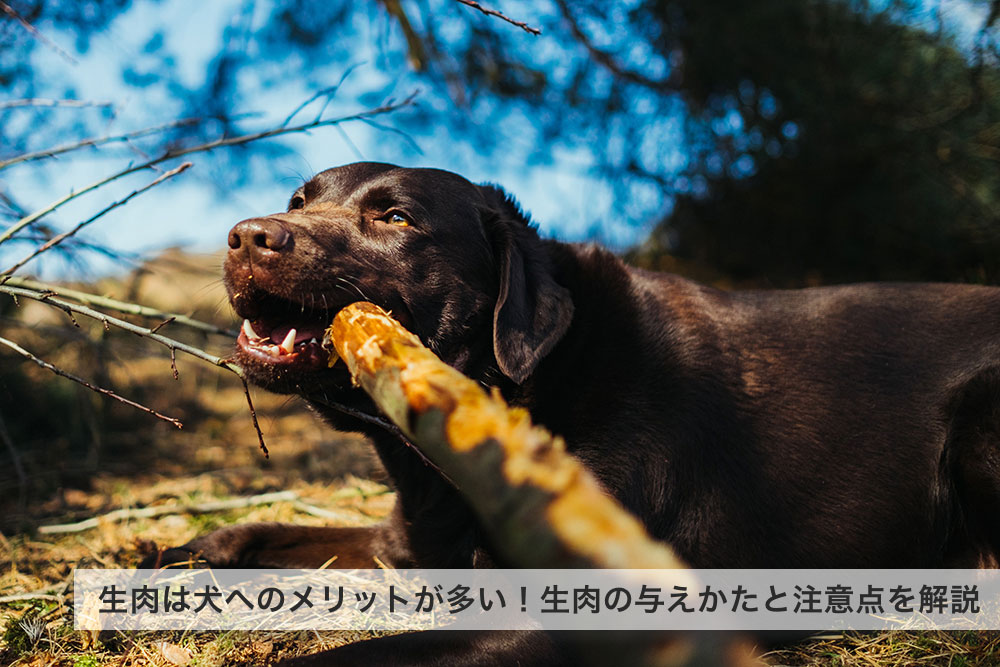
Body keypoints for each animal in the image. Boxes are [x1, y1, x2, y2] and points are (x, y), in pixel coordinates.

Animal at [145, 163, 1000, 667]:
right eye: (299, 202)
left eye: (396, 220)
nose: (246, 235)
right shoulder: (405, 544)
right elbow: (254, 533)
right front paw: (178, 553)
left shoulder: (566, 607)